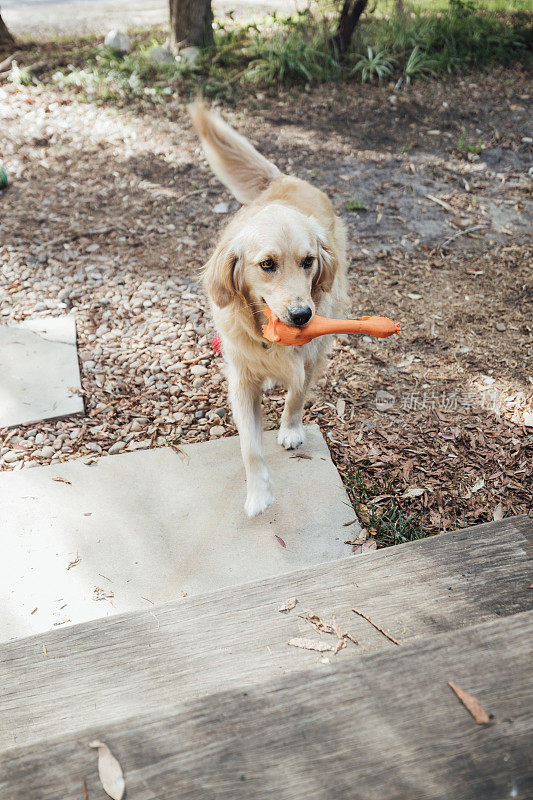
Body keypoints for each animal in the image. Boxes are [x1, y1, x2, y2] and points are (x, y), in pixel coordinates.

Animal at [188, 103, 350, 516]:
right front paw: (258, 493)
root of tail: (282, 178)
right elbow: (250, 445)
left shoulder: (311, 356)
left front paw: (291, 429)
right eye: (267, 265)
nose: (303, 316)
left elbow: (297, 395)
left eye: (309, 261)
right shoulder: (241, 377)